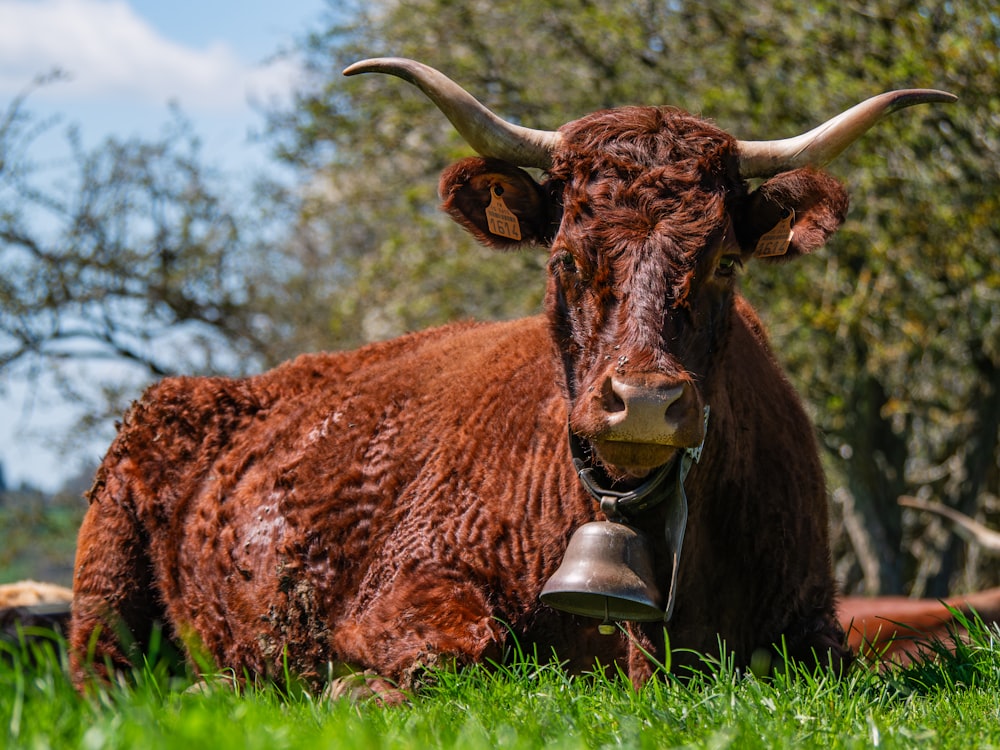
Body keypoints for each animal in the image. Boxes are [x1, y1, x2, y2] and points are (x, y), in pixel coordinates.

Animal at [68, 57, 952, 700]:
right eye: (565, 258)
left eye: (725, 262)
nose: (644, 402)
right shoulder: (406, 585)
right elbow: (466, 648)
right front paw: (353, 690)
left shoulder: (813, 624)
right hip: (104, 583)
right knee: (105, 676)